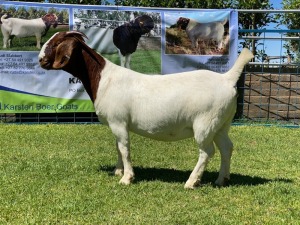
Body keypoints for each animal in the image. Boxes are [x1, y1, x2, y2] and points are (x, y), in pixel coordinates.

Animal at [38, 31, 253, 190]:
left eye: (57, 42)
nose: (40, 59)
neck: (103, 78)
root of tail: (226, 78)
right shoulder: (117, 124)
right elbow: (118, 147)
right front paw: (118, 171)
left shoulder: (118, 121)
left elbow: (124, 148)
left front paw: (126, 178)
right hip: (221, 123)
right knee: (226, 147)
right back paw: (222, 179)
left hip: (205, 122)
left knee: (207, 151)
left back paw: (191, 182)